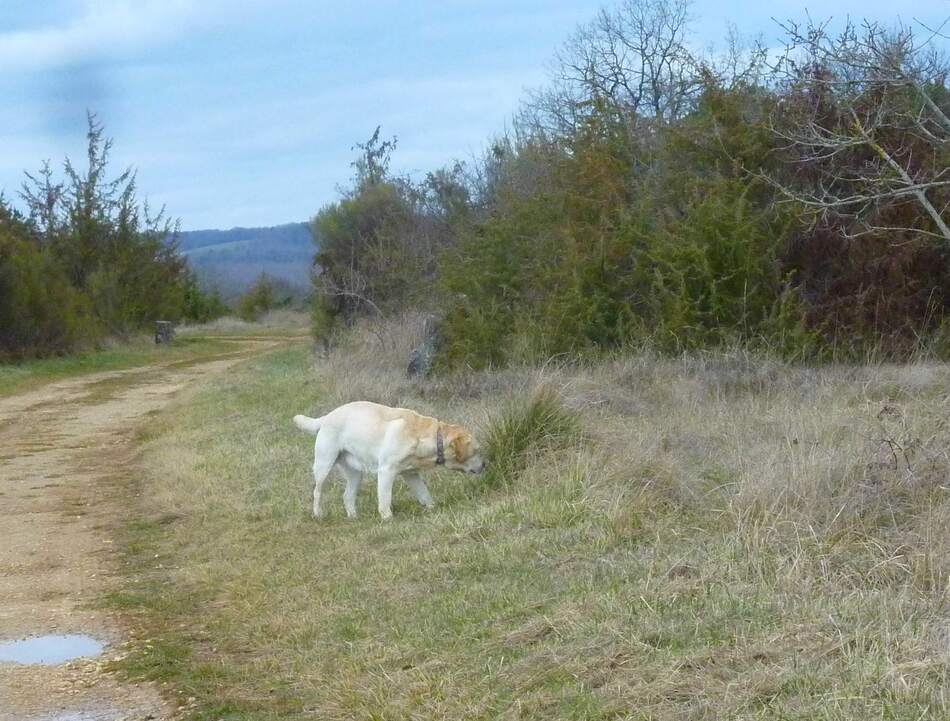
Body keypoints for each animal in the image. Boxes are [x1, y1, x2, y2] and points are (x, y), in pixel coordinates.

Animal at [294, 402, 488, 520]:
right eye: (477, 451)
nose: (485, 464)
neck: (429, 438)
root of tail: (326, 417)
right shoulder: (386, 471)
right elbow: (385, 498)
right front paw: (387, 519)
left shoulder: (411, 475)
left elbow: (425, 494)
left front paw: (433, 508)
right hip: (324, 465)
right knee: (317, 492)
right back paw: (318, 514)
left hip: (356, 474)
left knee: (347, 495)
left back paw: (354, 517)